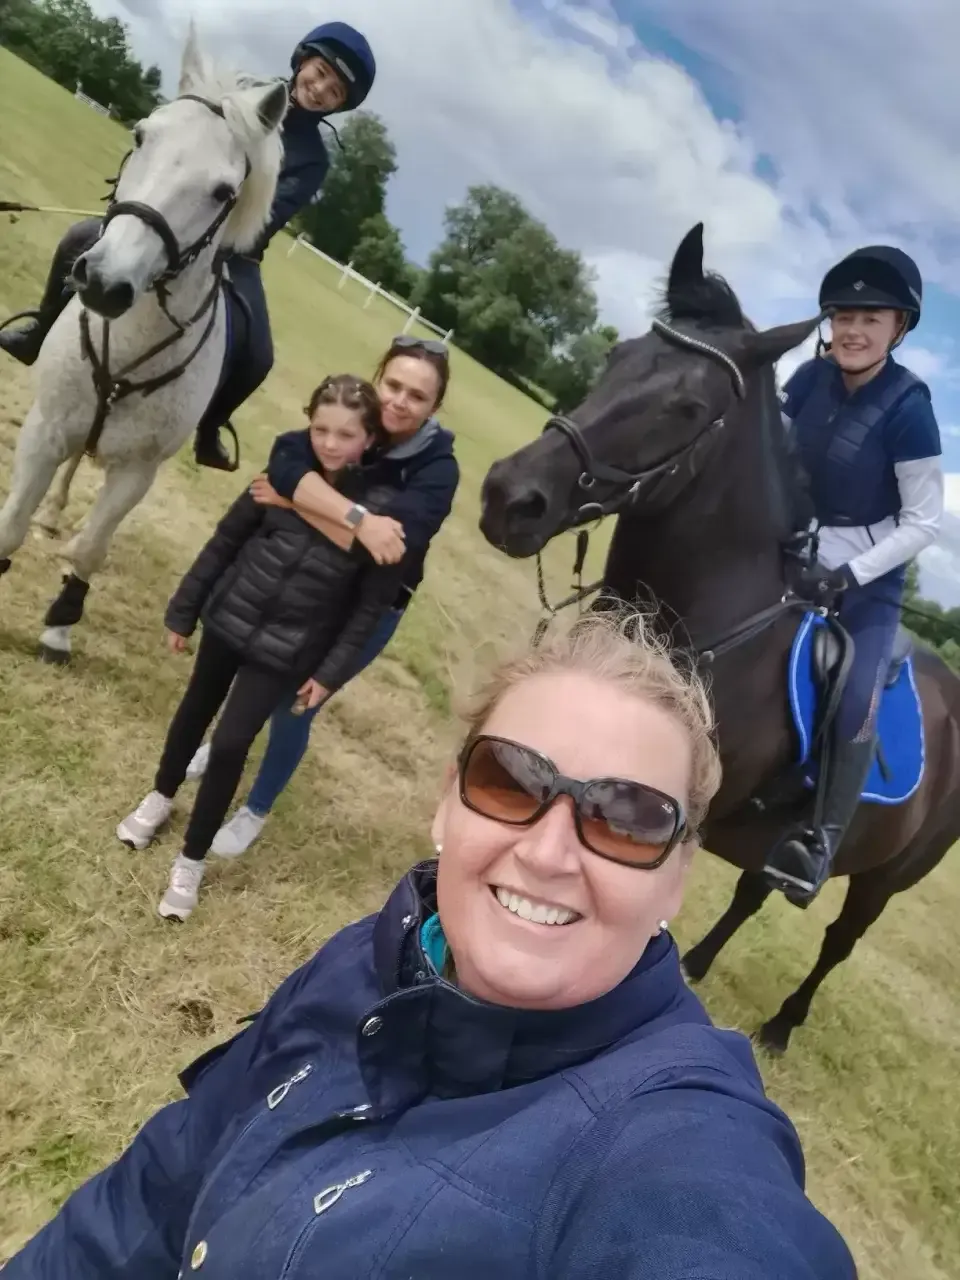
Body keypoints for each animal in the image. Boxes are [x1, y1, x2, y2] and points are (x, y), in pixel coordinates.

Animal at [478, 222, 960, 1054]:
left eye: (687, 404)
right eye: (616, 356)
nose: (511, 496)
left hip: (886, 878)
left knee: (838, 942)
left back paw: (783, 1026)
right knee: (751, 893)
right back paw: (702, 963)